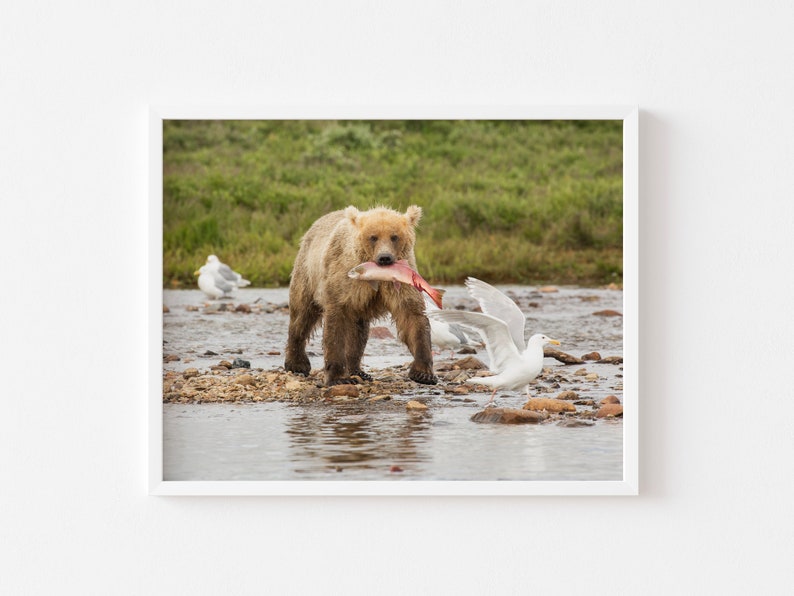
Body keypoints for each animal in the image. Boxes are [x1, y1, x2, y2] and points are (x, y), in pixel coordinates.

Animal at [284, 206, 436, 386]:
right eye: (373, 237)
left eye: (394, 237)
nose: (385, 258)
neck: (377, 275)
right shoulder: (344, 280)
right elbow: (336, 324)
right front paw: (338, 378)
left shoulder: (402, 280)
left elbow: (412, 316)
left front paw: (423, 373)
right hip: (307, 274)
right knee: (302, 316)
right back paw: (297, 364)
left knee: (358, 332)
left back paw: (358, 371)